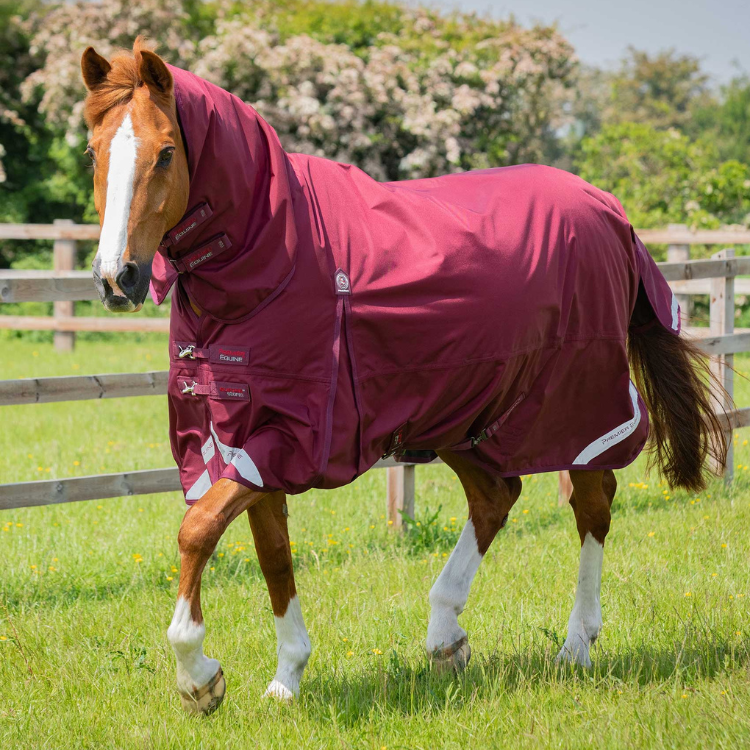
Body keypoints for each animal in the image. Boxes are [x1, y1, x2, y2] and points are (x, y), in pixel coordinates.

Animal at [80, 38, 726, 714]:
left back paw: (575, 646)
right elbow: (272, 555)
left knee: (592, 504)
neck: (277, 251)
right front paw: (286, 678)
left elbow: (197, 531)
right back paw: (445, 636)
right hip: (467, 410)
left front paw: (199, 676)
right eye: (93, 152)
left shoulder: (285, 438)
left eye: (166, 152)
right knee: (496, 497)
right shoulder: (243, 439)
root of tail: (609, 211)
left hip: (577, 408)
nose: (116, 278)